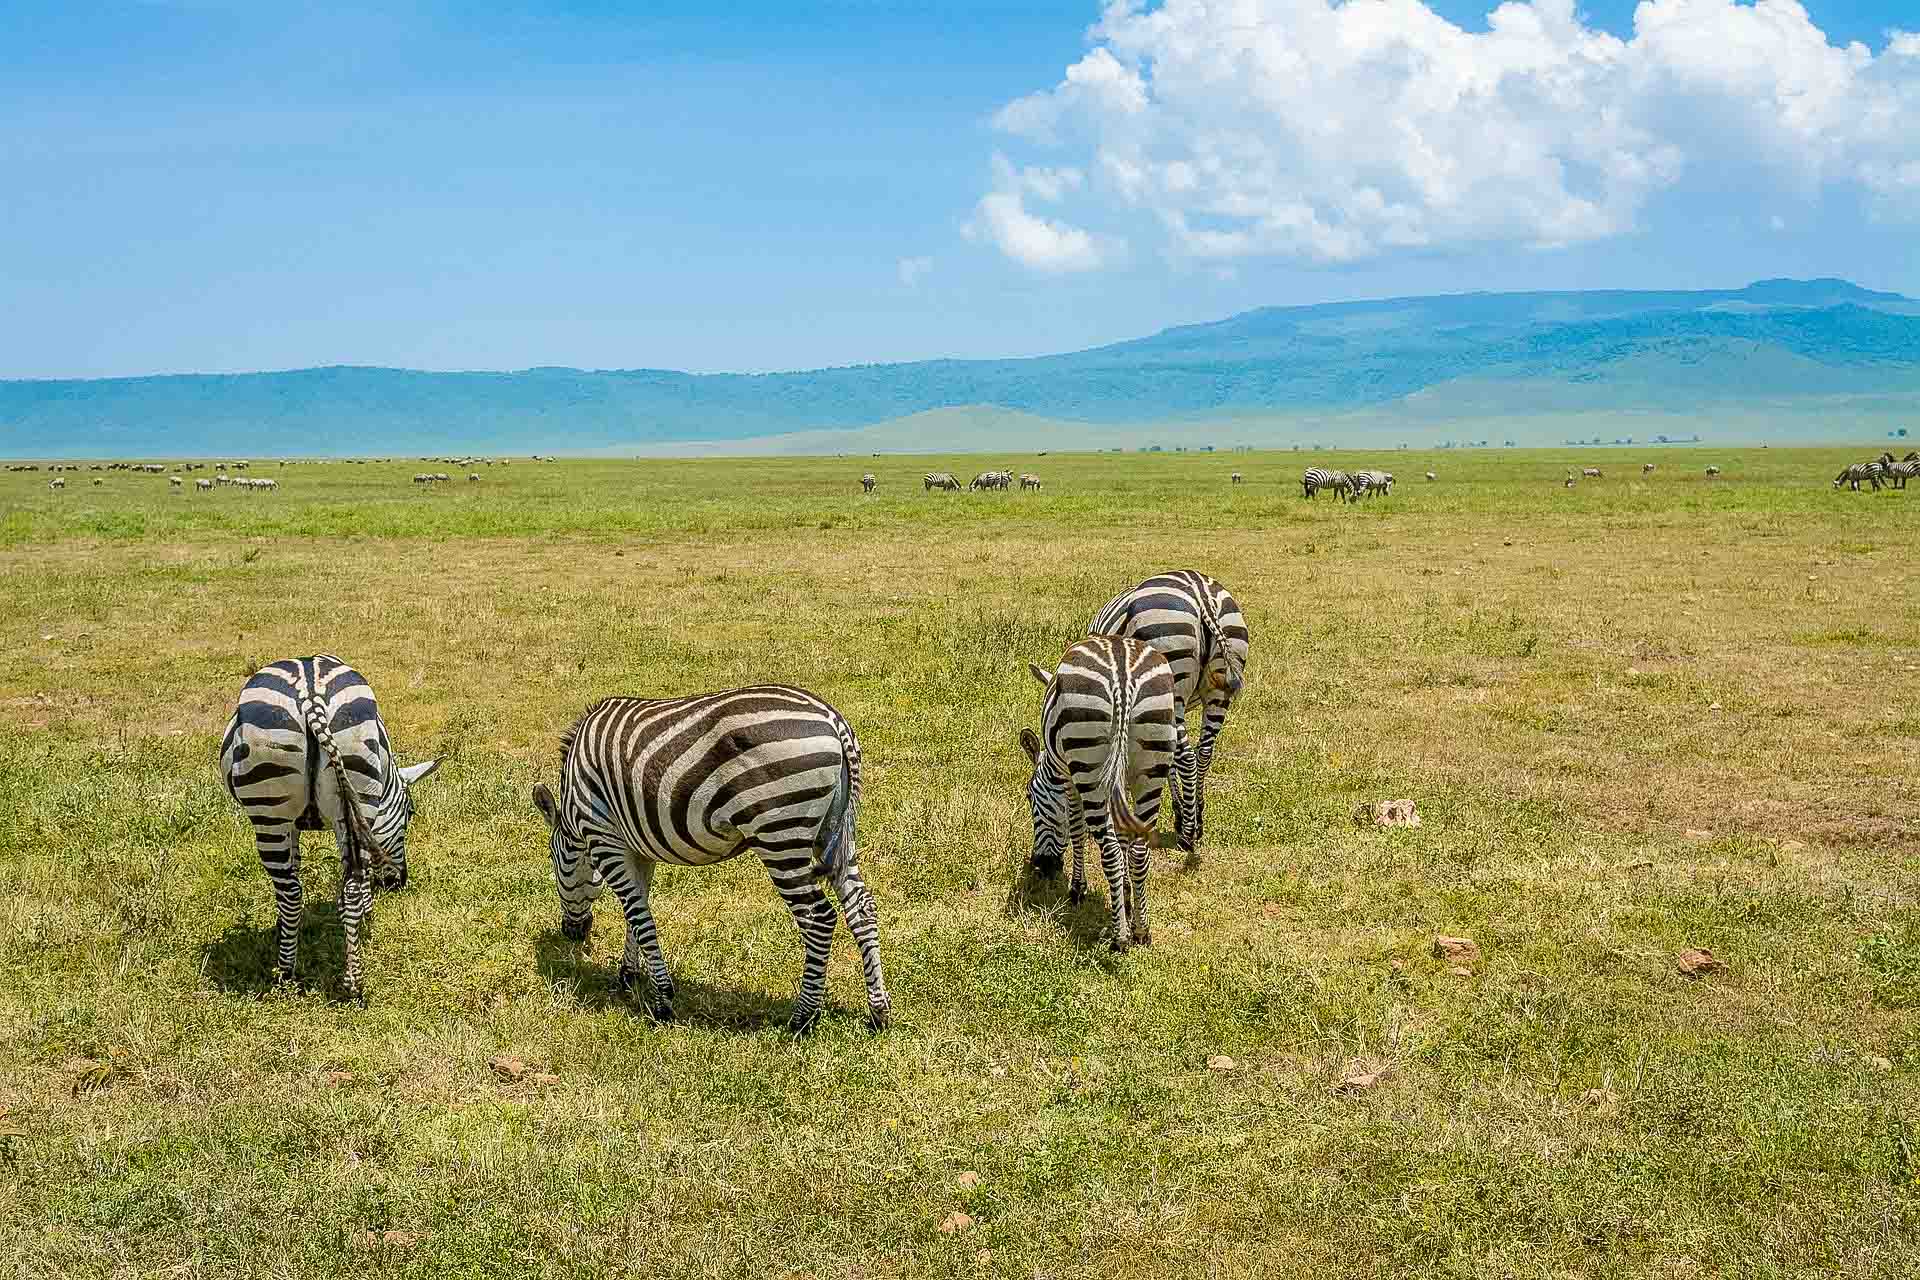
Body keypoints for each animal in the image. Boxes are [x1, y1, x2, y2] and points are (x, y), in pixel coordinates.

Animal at [217, 660, 441, 997]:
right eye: (410, 813)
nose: (398, 883)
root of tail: (311, 697)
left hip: (271, 810)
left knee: (291, 891)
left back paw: (289, 974)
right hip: (350, 790)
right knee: (343, 887)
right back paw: (350, 979)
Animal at [533, 690, 890, 1028]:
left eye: (556, 863)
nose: (572, 933)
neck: (573, 805)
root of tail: (833, 721)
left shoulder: (604, 840)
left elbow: (638, 916)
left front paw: (662, 1000)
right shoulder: (638, 849)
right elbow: (636, 913)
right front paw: (628, 975)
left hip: (780, 835)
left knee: (818, 918)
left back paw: (803, 1018)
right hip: (832, 834)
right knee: (861, 907)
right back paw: (878, 1012)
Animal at [1013, 637, 1175, 951]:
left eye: (1029, 796)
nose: (1041, 866)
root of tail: (1124, 678)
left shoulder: (1067, 776)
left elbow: (1077, 829)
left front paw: (1078, 888)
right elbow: (1123, 836)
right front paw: (1124, 894)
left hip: (1087, 760)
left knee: (1108, 849)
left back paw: (1120, 937)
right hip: (1151, 762)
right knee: (1139, 851)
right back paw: (1141, 931)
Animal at [1090, 568, 1251, 852]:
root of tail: (1200, 592)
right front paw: (1182, 812)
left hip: (1171, 673)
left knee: (1186, 757)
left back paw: (1187, 835)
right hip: (1220, 687)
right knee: (1203, 753)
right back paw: (1197, 821)